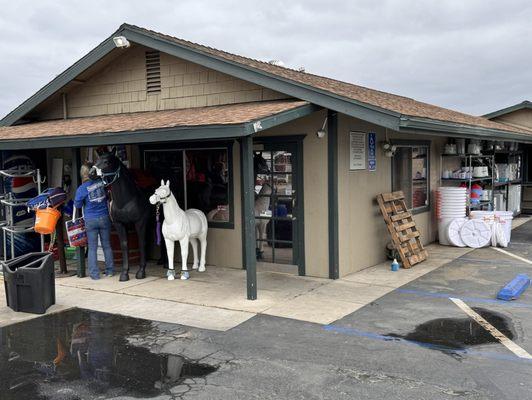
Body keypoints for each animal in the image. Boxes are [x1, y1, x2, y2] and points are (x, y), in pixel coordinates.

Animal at [90, 149, 150, 282]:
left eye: (107, 161)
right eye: (96, 160)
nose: (91, 173)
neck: (126, 201)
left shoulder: (140, 222)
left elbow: (141, 243)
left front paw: (141, 271)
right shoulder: (119, 224)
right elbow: (124, 245)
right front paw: (124, 273)